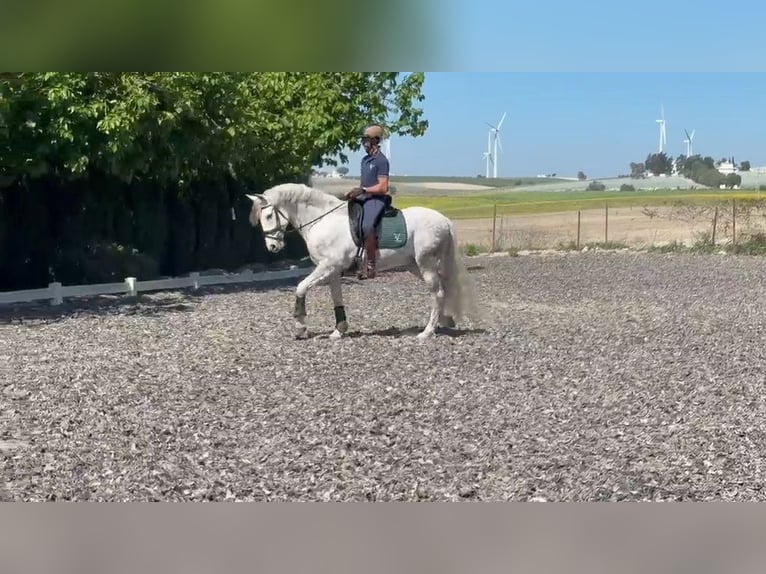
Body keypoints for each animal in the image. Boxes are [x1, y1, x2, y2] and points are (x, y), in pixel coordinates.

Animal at [245, 182, 478, 340]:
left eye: (268, 216)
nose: (272, 247)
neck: (323, 220)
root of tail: (444, 220)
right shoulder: (333, 271)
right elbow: (336, 298)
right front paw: (339, 330)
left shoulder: (327, 266)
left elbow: (301, 287)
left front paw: (301, 327)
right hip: (416, 266)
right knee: (443, 290)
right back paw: (444, 321)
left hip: (426, 264)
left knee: (437, 293)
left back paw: (427, 332)